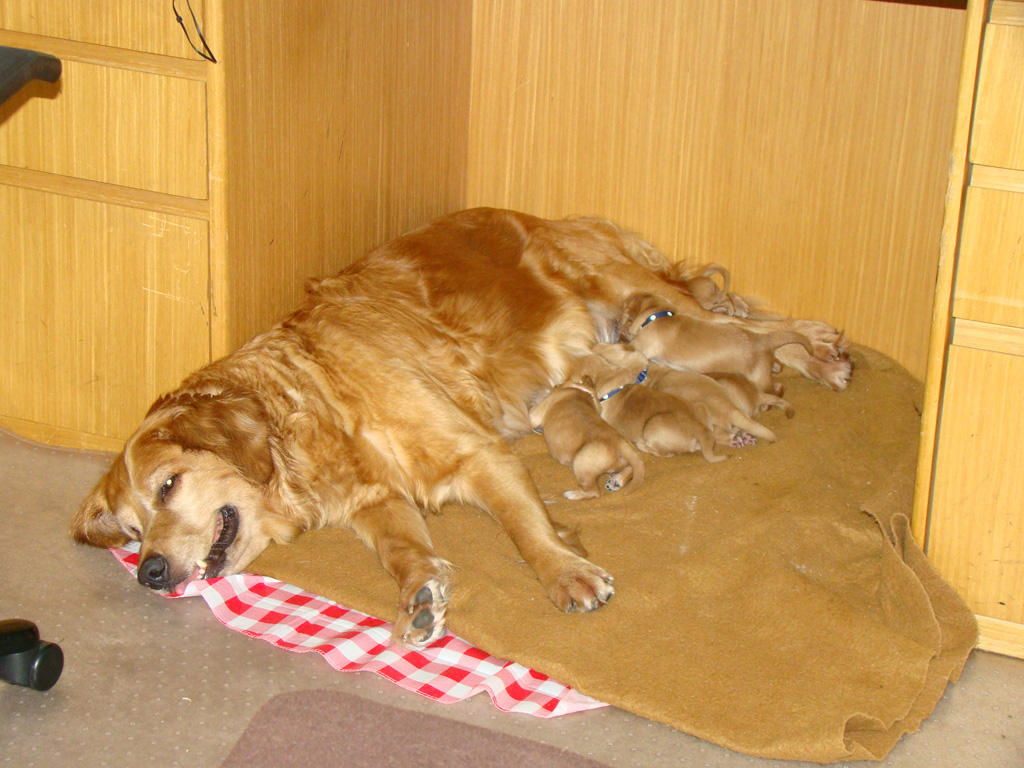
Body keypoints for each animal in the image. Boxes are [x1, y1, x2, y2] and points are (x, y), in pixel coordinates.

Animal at [614, 290, 815, 393]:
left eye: (624, 309)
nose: (617, 324)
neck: (658, 315)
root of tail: (764, 340)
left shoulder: (641, 347)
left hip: (761, 381)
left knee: (775, 389)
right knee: (778, 366)